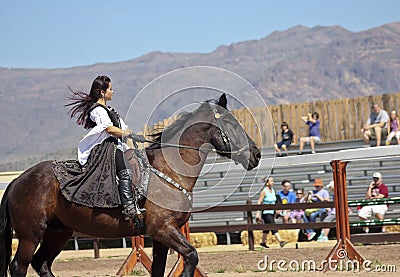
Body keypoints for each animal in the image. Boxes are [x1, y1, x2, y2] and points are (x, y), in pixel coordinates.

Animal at [0, 94, 260, 274]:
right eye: (232, 124)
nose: (256, 154)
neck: (167, 171)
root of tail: (15, 181)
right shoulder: (163, 229)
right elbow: (192, 255)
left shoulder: (161, 236)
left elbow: (159, 269)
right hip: (30, 234)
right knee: (19, 266)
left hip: (58, 232)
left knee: (41, 263)